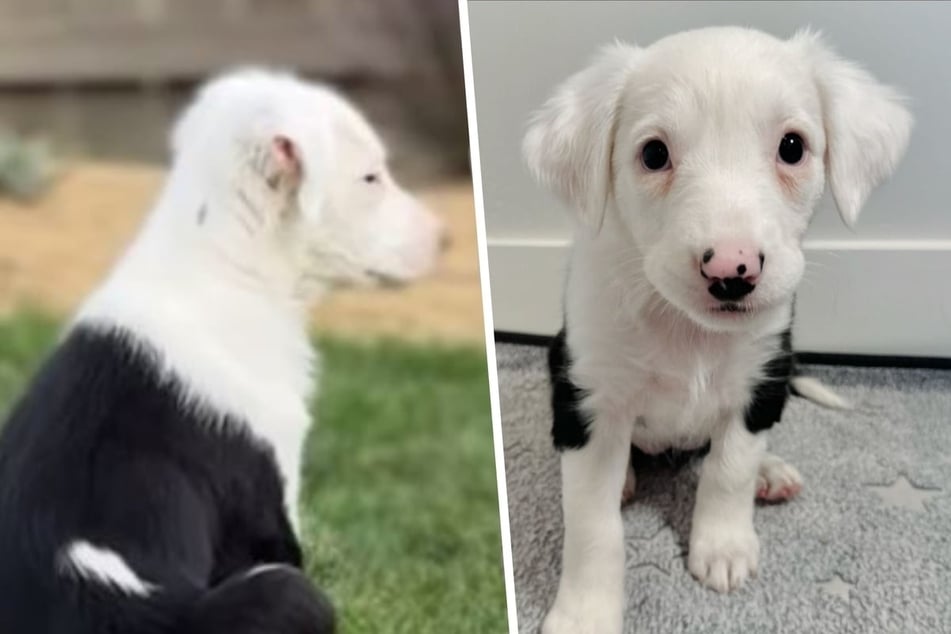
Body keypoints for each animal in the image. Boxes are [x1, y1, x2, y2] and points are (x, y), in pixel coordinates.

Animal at [524, 25, 912, 632]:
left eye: (792, 146)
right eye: (654, 154)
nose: (732, 270)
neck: (687, 333)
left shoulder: (759, 376)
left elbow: (729, 468)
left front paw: (724, 546)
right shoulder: (589, 395)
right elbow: (591, 524)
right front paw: (585, 613)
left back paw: (770, 473)